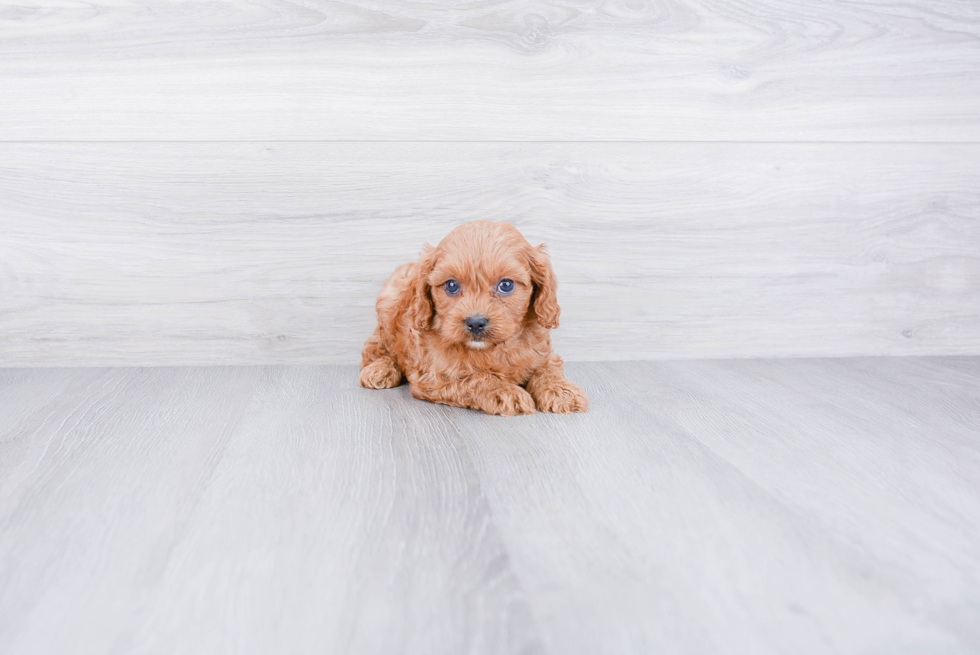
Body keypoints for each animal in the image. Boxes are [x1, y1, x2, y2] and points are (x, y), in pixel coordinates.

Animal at [362, 220, 584, 416]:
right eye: (451, 285)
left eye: (506, 285)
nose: (476, 322)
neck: (492, 349)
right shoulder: (435, 376)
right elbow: (475, 377)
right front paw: (504, 391)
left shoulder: (545, 354)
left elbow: (547, 369)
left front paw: (561, 391)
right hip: (388, 305)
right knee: (375, 349)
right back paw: (380, 369)